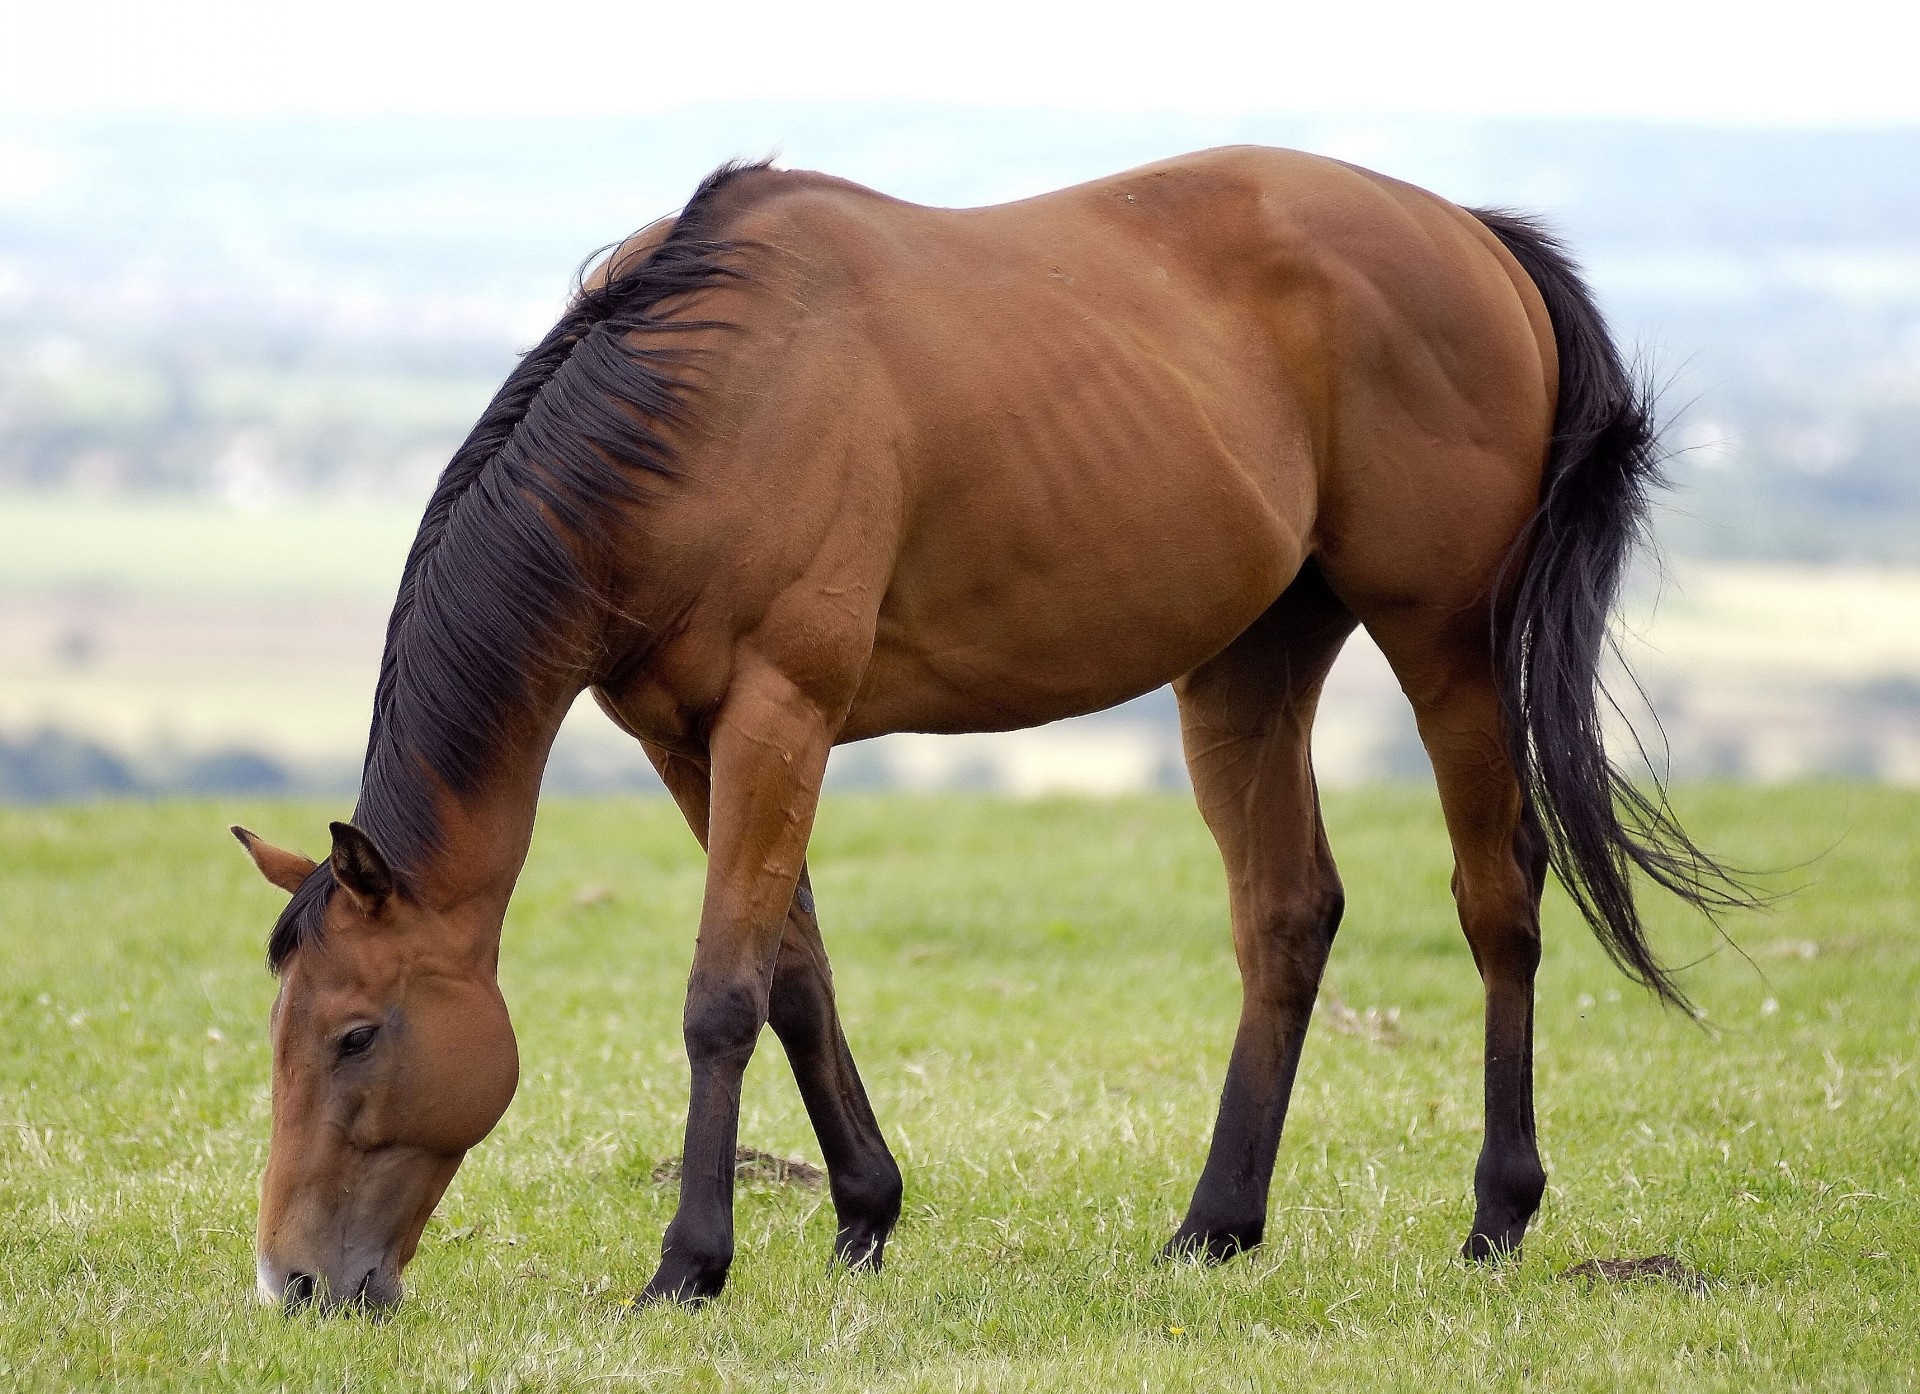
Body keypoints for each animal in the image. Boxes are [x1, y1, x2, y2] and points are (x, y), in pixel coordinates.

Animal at [232, 147, 1751, 1313]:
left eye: (356, 1034)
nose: (293, 1282)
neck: (699, 405)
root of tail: (1474, 237)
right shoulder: (687, 739)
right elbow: (796, 972)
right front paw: (863, 1211)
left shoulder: (779, 714)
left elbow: (723, 993)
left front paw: (690, 1264)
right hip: (1249, 665)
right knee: (1286, 914)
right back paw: (1214, 1224)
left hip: (1447, 647)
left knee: (1499, 899)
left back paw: (1497, 1214)